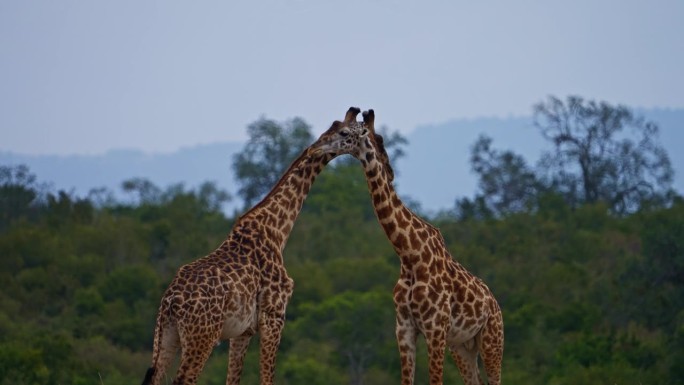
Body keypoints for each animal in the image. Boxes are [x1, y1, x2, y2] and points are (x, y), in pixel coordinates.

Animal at [141, 107, 372, 384]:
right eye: (345, 132)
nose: (317, 147)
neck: (277, 231)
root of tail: (170, 302)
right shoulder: (275, 314)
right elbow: (267, 377)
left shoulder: (243, 331)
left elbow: (233, 379)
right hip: (202, 337)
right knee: (184, 379)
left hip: (166, 336)